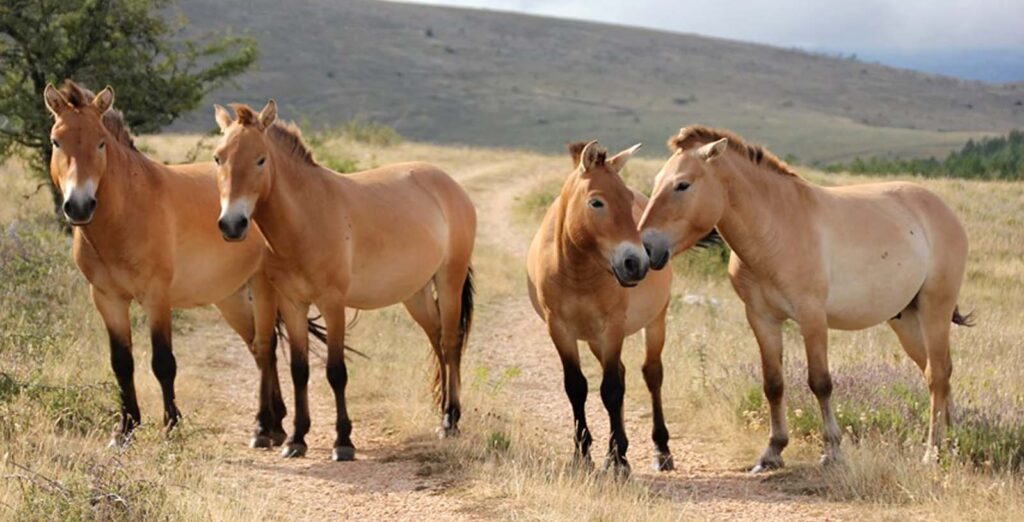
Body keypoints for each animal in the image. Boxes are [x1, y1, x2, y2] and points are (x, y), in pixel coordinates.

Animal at [43, 81, 311, 449]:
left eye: (100, 142)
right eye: (57, 141)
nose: (79, 206)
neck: (128, 211)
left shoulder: (157, 298)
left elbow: (163, 362)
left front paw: (170, 425)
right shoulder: (107, 299)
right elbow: (121, 363)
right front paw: (125, 429)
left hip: (262, 286)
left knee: (265, 346)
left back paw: (266, 427)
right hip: (231, 298)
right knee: (260, 351)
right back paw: (275, 423)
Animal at [212, 101, 476, 461]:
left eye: (260, 159)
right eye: (218, 158)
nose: (232, 225)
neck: (306, 216)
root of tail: (451, 186)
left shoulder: (333, 304)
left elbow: (336, 372)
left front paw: (343, 442)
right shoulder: (293, 304)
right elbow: (299, 370)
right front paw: (296, 438)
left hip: (449, 280)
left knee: (450, 342)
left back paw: (450, 421)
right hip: (417, 294)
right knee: (437, 340)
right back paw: (443, 414)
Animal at [527, 141, 675, 475]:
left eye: (628, 199)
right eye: (597, 202)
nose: (636, 263)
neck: (577, 270)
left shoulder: (613, 327)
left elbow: (611, 390)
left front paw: (618, 460)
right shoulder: (560, 329)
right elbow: (577, 387)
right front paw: (584, 454)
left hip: (655, 321)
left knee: (652, 374)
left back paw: (661, 449)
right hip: (595, 339)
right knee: (620, 372)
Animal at [638, 126, 971, 471]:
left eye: (682, 185)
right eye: (657, 181)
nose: (646, 247)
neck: (775, 229)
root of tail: (942, 210)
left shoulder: (812, 318)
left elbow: (820, 382)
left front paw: (832, 450)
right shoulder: (762, 319)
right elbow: (773, 384)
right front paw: (772, 451)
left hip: (935, 309)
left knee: (937, 375)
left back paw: (932, 451)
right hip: (906, 319)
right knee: (939, 373)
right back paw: (951, 443)